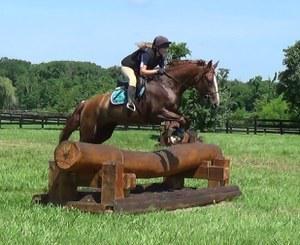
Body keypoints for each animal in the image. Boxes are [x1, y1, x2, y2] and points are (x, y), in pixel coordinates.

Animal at [59, 59, 220, 144]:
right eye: (208, 79)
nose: (216, 102)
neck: (168, 84)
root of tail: (86, 103)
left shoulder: (172, 110)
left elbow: (185, 119)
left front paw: (176, 134)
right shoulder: (157, 114)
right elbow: (181, 119)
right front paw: (175, 135)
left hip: (103, 131)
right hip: (89, 130)